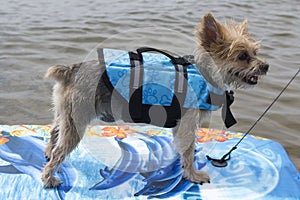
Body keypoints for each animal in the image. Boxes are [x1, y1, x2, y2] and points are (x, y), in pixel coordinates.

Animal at [41, 13, 268, 188]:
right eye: (242, 56)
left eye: (255, 52)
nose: (265, 66)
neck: (206, 72)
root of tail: (71, 70)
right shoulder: (188, 122)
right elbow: (188, 150)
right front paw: (193, 175)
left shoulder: (180, 124)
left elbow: (181, 148)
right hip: (77, 120)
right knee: (60, 151)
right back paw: (49, 178)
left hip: (65, 113)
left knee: (54, 131)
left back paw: (47, 152)